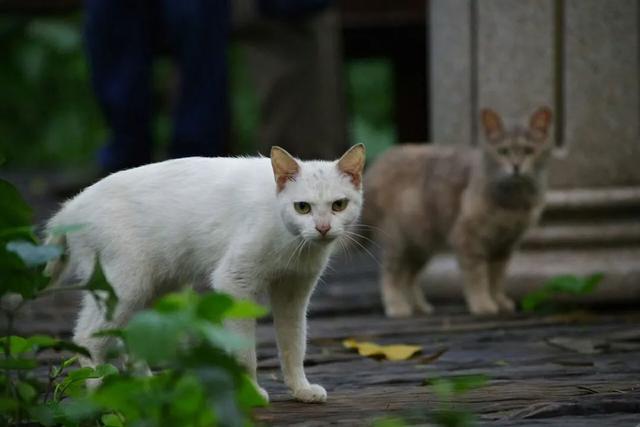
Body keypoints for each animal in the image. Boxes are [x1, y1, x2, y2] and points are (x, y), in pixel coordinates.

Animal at [45, 145, 364, 402]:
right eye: (302, 207)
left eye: (338, 205)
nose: (323, 228)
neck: (294, 242)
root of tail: (69, 208)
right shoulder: (233, 281)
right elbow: (244, 353)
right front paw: (251, 393)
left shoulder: (294, 292)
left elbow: (294, 344)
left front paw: (301, 389)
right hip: (126, 286)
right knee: (86, 337)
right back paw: (99, 395)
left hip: (156, 287)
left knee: (131, 335)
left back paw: (147, 387)